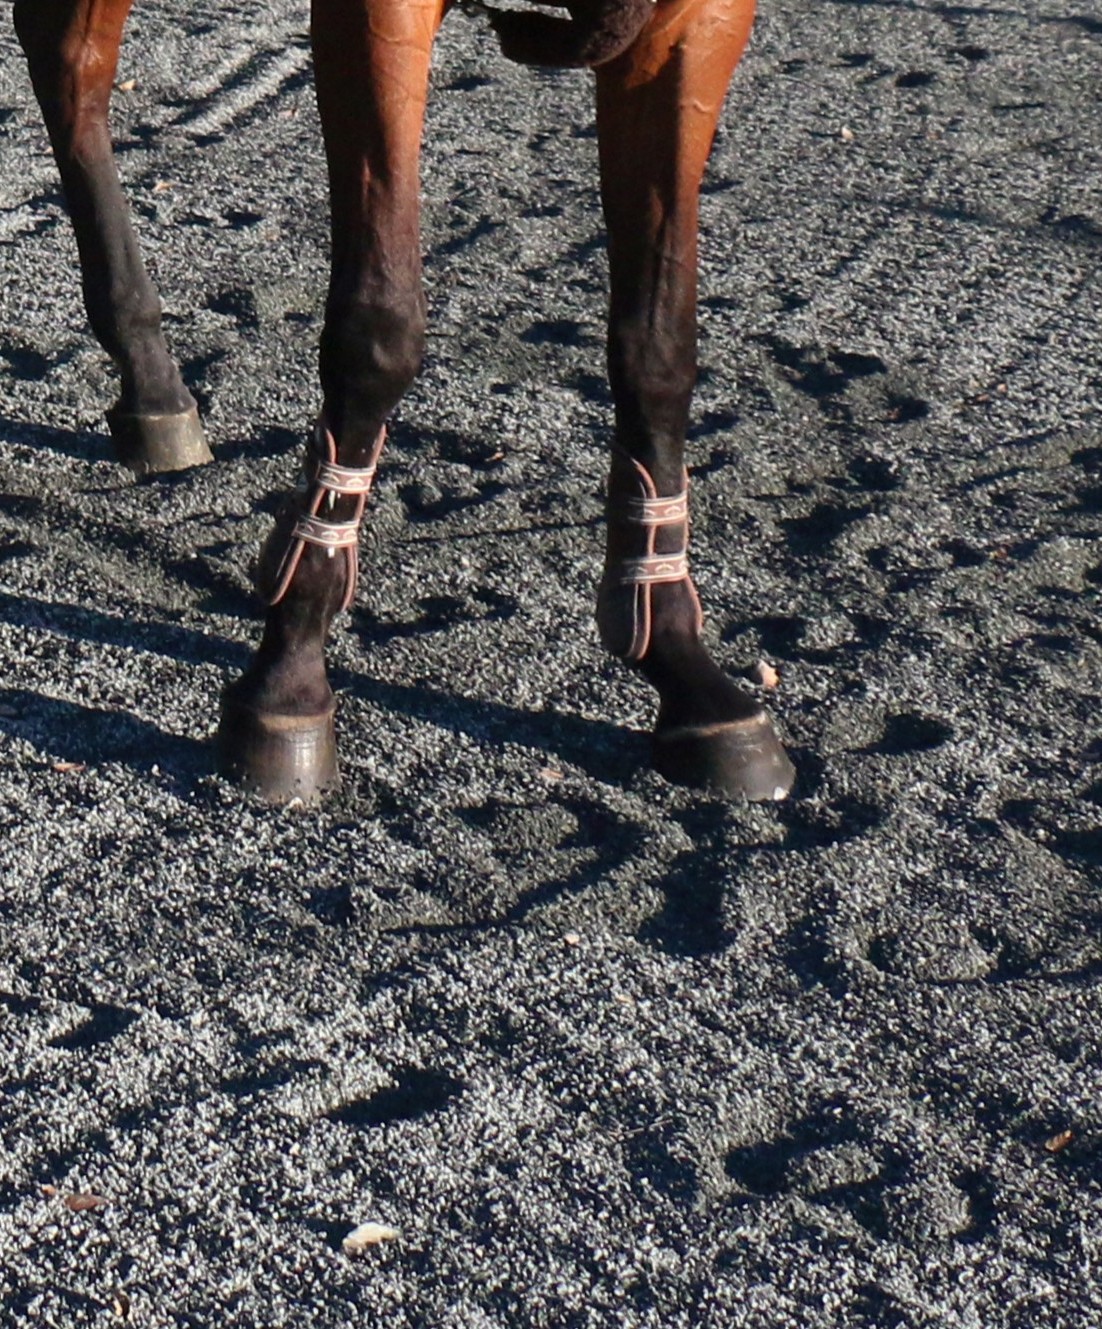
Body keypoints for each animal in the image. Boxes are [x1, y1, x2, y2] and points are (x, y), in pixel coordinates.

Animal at [13, 0, 795, 804]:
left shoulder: (695, 25)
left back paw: (152, 385)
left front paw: (679, 662)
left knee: (69, 68)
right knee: (71, 69)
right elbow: (379, 333)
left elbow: (658, 345)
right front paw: (289, 668)